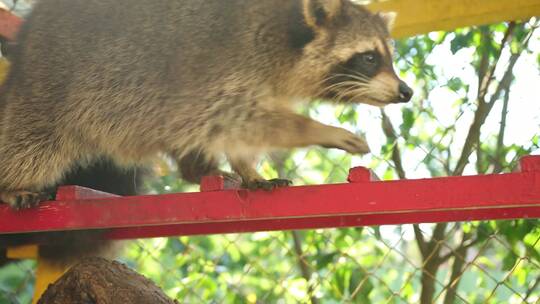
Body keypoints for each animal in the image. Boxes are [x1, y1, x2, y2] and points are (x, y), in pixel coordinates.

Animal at [1, 0, 414, 210]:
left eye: (387, 56)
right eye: (369, 58)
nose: (406, 92)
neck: (280, 36)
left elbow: (239, 131)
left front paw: (249, 170)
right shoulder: (219, 72)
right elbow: (237, 121)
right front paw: (321, 130)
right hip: (49, 88)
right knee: (30, 142)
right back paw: (12, 183)